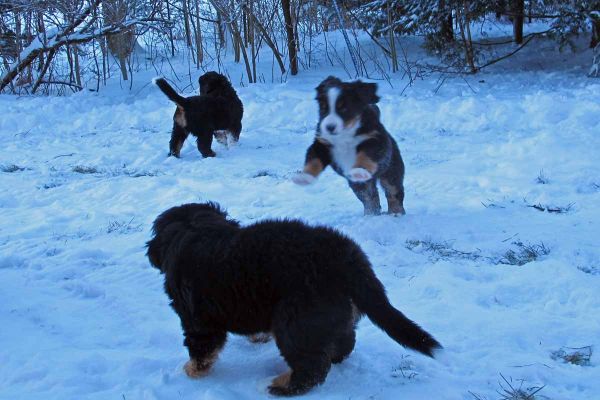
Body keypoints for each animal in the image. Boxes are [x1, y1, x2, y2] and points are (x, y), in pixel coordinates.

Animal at [146, 202, 440, 396]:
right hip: (332, 313)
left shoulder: (197, 319)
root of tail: (346, 257)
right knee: (343, 342)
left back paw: (281, 386)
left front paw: (192, 371)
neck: (194, 229)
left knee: (312, 367)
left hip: (295, 321)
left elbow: (201, 348)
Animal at [292, 77, 406, 217]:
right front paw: (304, 177)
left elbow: (365, 156)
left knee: (393, 192)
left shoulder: (375, 141)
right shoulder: (322, 144)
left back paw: (396, 212)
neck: (346, 133)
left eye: (344, 109)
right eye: (323, 109)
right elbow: (314, 160)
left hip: (391, 171)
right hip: (358, 186)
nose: (329, 127)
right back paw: (370, 214)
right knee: (370, 197)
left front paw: (359, 171)